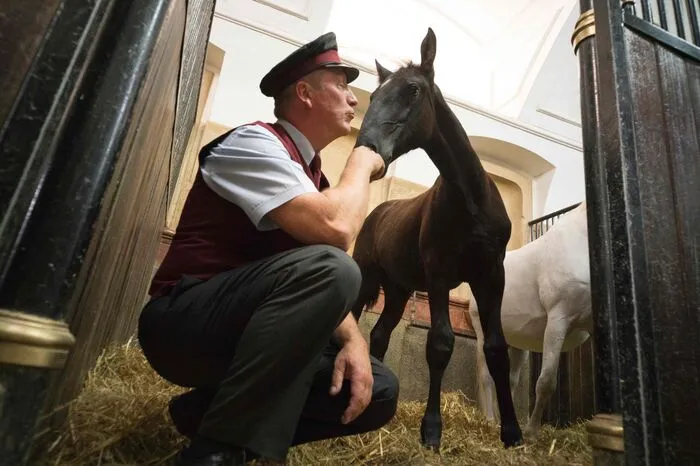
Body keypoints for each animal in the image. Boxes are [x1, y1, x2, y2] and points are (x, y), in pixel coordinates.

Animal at [351, 27, 523, 450]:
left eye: (413, 90)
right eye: (373, 96)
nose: (367, 149)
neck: (471, 200)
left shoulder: (491, 275)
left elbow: (496, 348)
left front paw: (512, 432)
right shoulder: (440, 274)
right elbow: (440, 344)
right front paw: (431, 430)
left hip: (397, 290)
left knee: (379, 335)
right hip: (368, 277)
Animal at [469, 201, 592, 439]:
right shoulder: (558, 320)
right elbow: (546, 382)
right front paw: (532, 433)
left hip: (517, 344)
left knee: (507, 380)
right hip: (482, 334)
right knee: (486, 376)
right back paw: (489, 420)